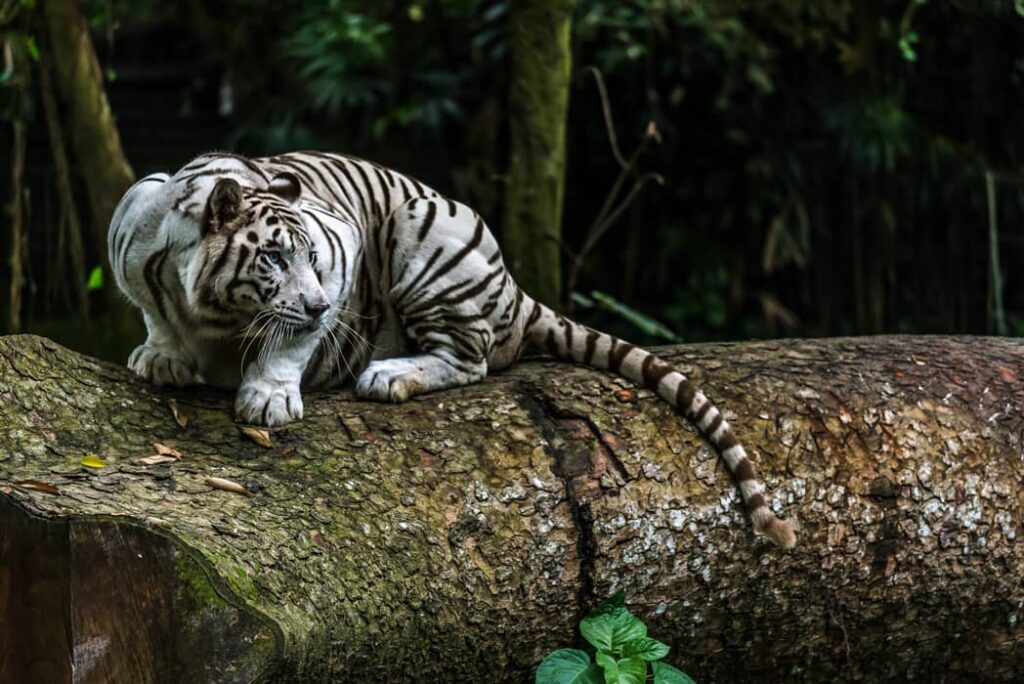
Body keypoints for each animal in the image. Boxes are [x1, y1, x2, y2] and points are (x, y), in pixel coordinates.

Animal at [108, 150, 797, 548]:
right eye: (273, 257)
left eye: (311, 258)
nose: (322, 307)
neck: (213, 310)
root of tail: (514, 286)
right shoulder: (136, 223)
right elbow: (155, 314)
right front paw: (161, 355)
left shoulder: (340, 247)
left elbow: (288, 343)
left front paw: (268, 398)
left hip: (423, 226)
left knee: (471, 359)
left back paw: (387, 375)